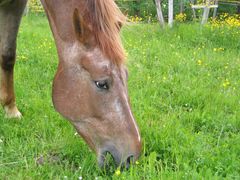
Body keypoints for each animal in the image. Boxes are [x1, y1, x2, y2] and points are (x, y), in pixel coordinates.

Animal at [0, 0, 141, 168]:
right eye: (101, 83)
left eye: (126, 76)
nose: (132, 157)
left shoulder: (15, 5)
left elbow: (8, 55)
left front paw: (11, 111)